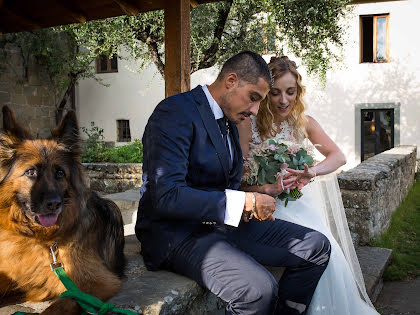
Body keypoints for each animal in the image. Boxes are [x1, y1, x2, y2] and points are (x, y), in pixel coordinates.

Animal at [0, 105, 124, 314]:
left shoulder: (94, 283)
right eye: (31, 172)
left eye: (60, 173)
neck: (41, 238)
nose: (54, 204)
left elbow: (58, 306)